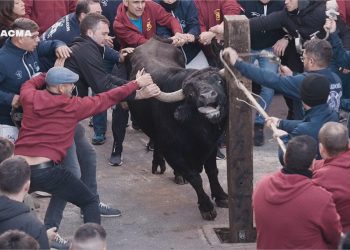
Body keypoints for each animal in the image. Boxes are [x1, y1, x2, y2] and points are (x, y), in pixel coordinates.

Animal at [126, 37, 230, 221]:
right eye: (191, 93)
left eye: (219, 80)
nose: (207, 96)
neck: (196, 132)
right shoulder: (172, 151)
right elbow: (195, 178)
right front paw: (206, 207)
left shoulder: (211, 146)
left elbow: (212, 171)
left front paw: (221, 196)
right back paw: (160, 166)